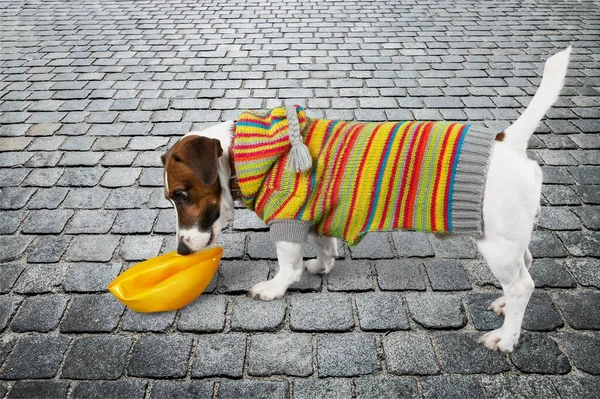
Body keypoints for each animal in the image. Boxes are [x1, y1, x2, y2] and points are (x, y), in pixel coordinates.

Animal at [161, 47, 572, 354]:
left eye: (181, 195)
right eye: (170, 197)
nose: (181, 251)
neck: (244, 154)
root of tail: (508, 143)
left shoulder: (289, 221)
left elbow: (287, 266)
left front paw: (275, 288)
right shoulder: (316, 215)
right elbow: (324, 246)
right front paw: (321, 266)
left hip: (497, 245)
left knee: (522, 286)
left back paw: (507, 336)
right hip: (511, 240)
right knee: (525, 269)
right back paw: (504, 307)